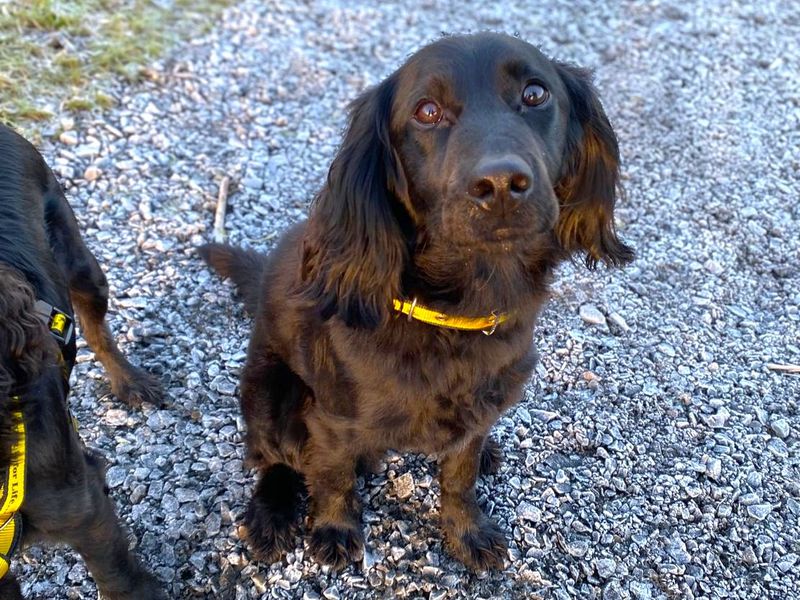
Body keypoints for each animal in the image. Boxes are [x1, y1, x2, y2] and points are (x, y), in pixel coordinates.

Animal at [203, 32, 636, 572]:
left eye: (535, 94)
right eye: (426, 111)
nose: (500, 186)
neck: (456, 312)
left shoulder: (478, 408)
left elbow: (459, 477)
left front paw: (467, 532)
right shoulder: (329, 420)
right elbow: (333, 477)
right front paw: (333, 529)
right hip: (268, 392)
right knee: (272, 458)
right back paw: (269, 514)